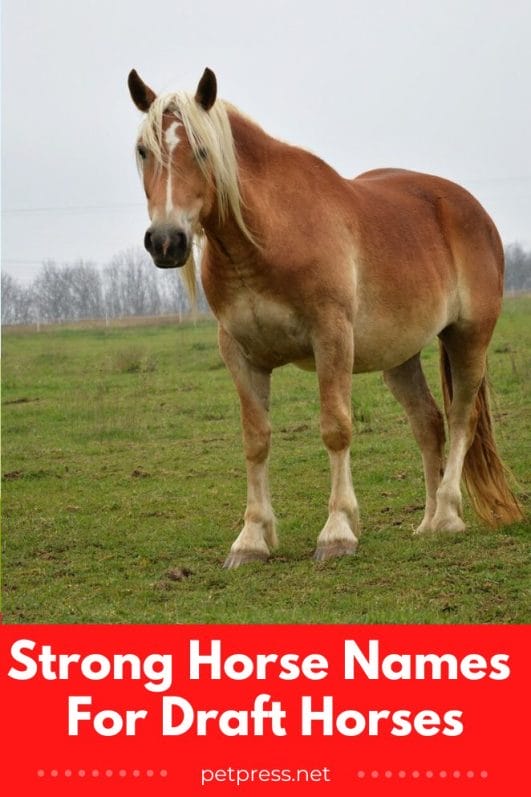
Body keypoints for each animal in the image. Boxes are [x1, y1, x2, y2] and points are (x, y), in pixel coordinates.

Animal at [128, 67, 522, 568]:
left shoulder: (331, 337)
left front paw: (337, 533)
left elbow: (336, 428)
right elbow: (255, 439)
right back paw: (428, 522)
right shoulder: (239, 352)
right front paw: (251, 539)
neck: (268, 235)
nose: (166, 240)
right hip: (401, 355)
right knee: (428, 424)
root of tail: (472, 210)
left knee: (460, 419)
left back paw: (450, 514)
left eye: (201, 149)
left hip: (469, 339)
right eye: (143, 150)